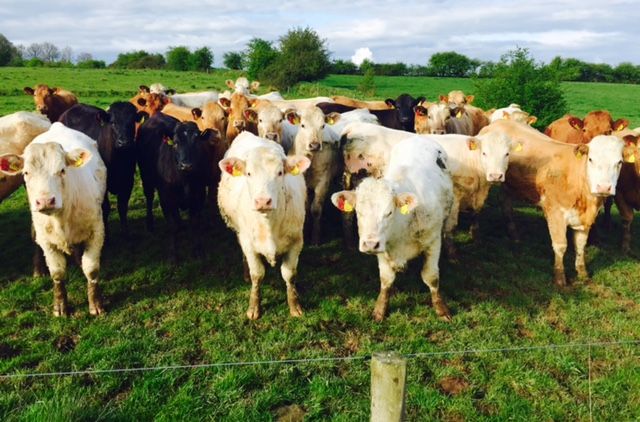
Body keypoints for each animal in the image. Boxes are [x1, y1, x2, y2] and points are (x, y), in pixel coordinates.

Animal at [0, 122, 107, 316]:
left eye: (62, 170)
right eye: (26, 172)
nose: (45, 201)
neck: (61, 218)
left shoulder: (97, 232)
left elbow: (91, 270)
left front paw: (95, 303)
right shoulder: (47, 241)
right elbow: (57, 273)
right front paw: (60, 306)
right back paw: (38, 269)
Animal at [58, 102, 144, 238]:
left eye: (132, 122)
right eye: (113, 122)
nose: (124, 142)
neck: (118, 161)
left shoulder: (128, 181)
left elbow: (122, 206)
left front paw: (125, 233)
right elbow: (106, 208)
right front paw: (106, 235)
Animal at [217, 132, 311, 319]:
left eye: (280, 172)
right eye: (248, 173)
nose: (262, 201)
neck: (268, 224)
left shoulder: (296, 242)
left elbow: (289, 274)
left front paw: (294, 305)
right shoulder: (249, 244)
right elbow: (257, 275)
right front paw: (254, 307)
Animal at [332, 136, 454, 321]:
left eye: (389, 212)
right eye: (358, 211)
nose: (369, 244)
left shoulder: (433, 241)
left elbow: (431, 277)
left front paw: (441, 309)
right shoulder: (382, 248)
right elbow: (386, 280)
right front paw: (380, 309)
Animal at [479, 119, 633, 285]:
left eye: (619, 162)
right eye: (591, 159)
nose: (604, 187)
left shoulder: (583, 220)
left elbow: (580, 246)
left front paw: (582, 273)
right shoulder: (555, 213)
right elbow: (560, 246)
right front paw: (560, 279)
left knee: (505, 203)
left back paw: (514, 235)